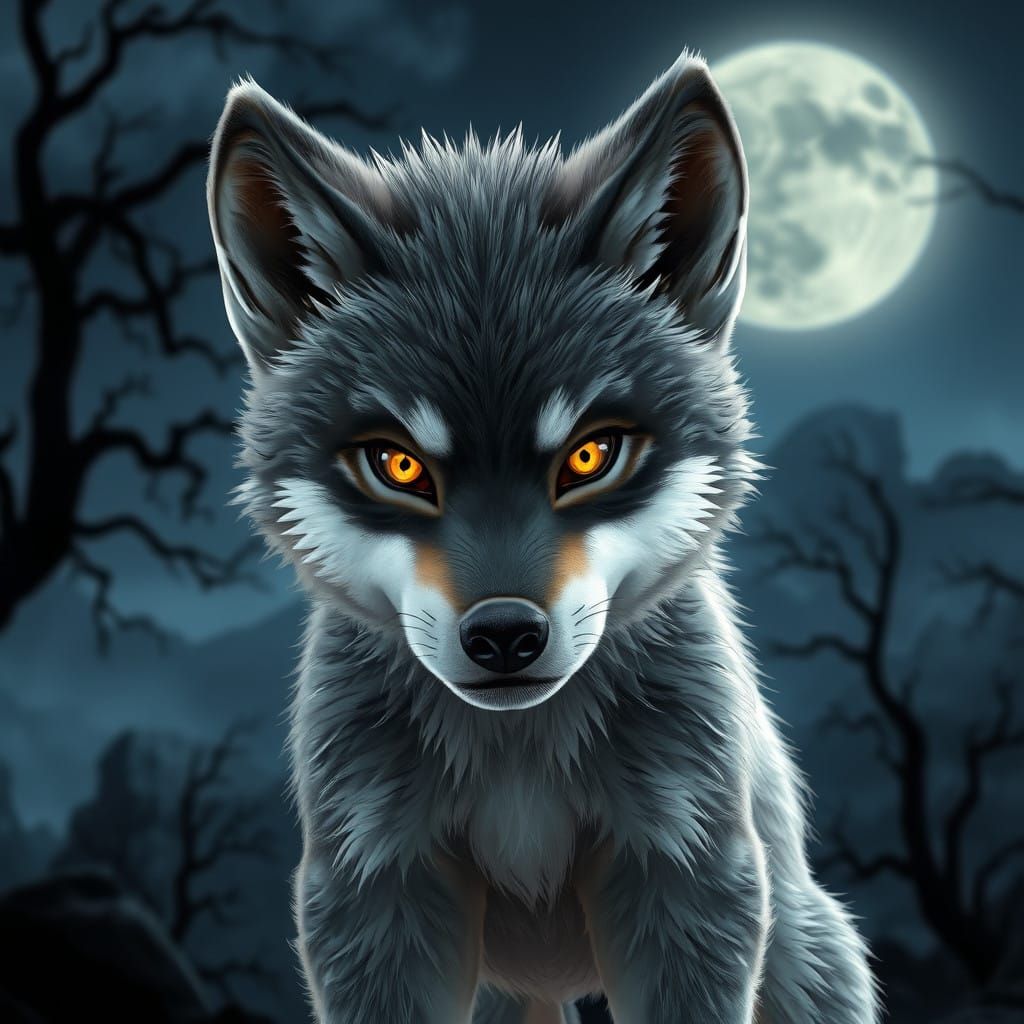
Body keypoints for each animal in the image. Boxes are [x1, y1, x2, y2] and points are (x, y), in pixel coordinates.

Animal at [207, 49, 877, 1024]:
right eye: (398, 465)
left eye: (591, 455)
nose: (504, 636)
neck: (517, 759)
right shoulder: (373, 887)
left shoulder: (689, 873)